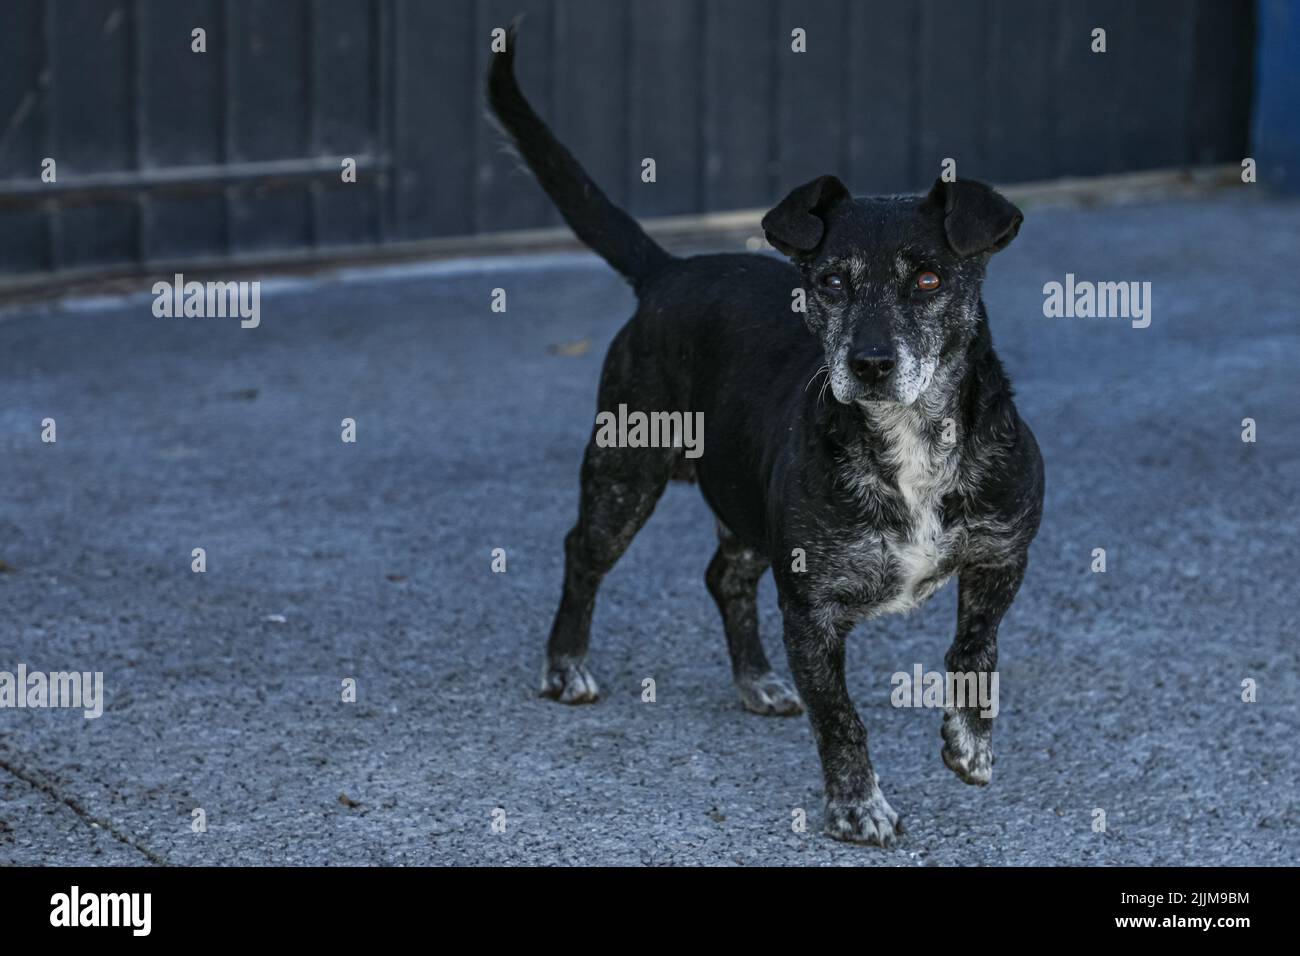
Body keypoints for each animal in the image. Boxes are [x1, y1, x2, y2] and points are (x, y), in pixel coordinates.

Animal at [488, 24, 1045, 842]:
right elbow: (841, 717)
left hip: (744, 500)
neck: (909, 439)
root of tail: (668, 272)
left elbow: (976, 647)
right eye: (831, 282)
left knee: (724, 577)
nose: (870, 364)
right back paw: (565, 665)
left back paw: (755, 680)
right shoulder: (811, 609)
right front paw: (857, 804)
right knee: (582, 554)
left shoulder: (1002, 556)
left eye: (930, 279)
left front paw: (968, 741)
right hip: (625, 472)